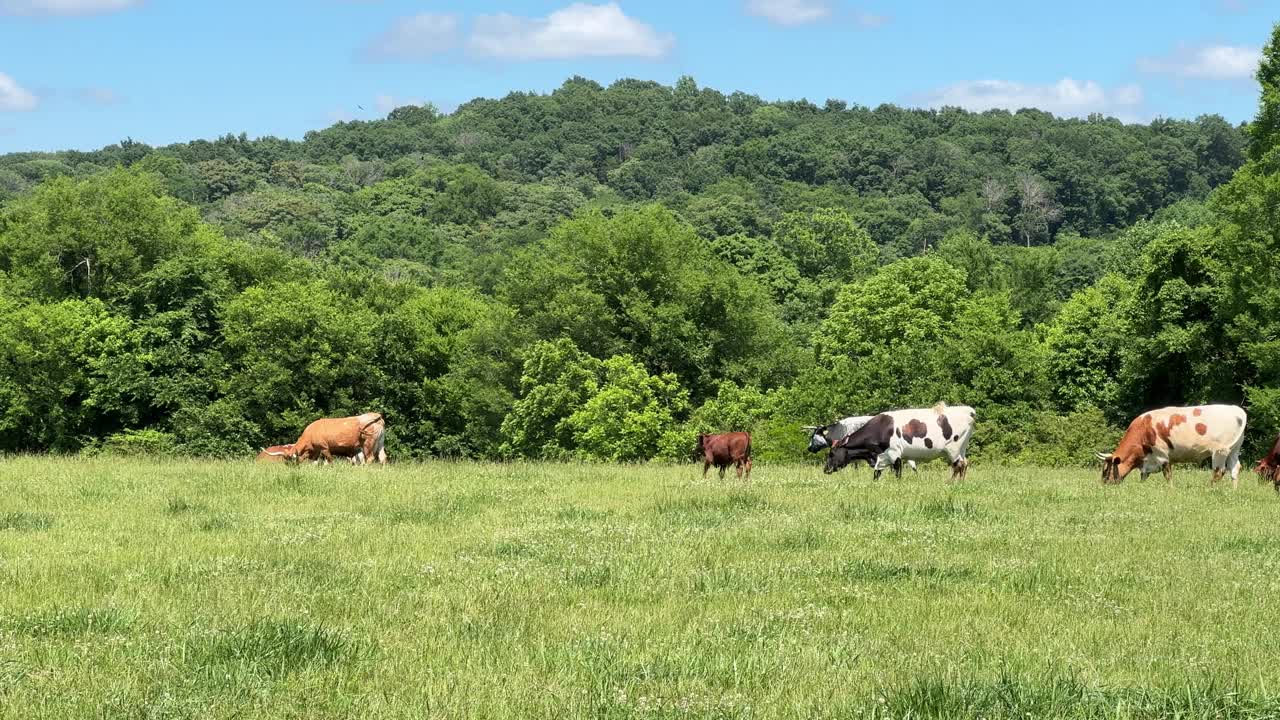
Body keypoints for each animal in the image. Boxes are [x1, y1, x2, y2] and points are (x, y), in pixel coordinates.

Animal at [824, 399, 972, 479]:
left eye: (831, 453)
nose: (825, 470)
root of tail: (968, 410)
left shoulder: (894, 454)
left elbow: (897, 474)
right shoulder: (881, 457)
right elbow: (876, 474)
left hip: (953, 448)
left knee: (958, 465)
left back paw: (951, 484)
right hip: (961, 449)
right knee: (964, 464)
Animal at [1095, 399, 1244, 484]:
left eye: (1106, 469)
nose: (1104, 484)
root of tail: (1237, 410)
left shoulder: (1162, 455)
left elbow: (1168, 475)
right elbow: (1143, 476)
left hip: (1220, 450)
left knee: (1219, 471)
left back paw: (1209, 488)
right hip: (1234, 449)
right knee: (1235, 468)